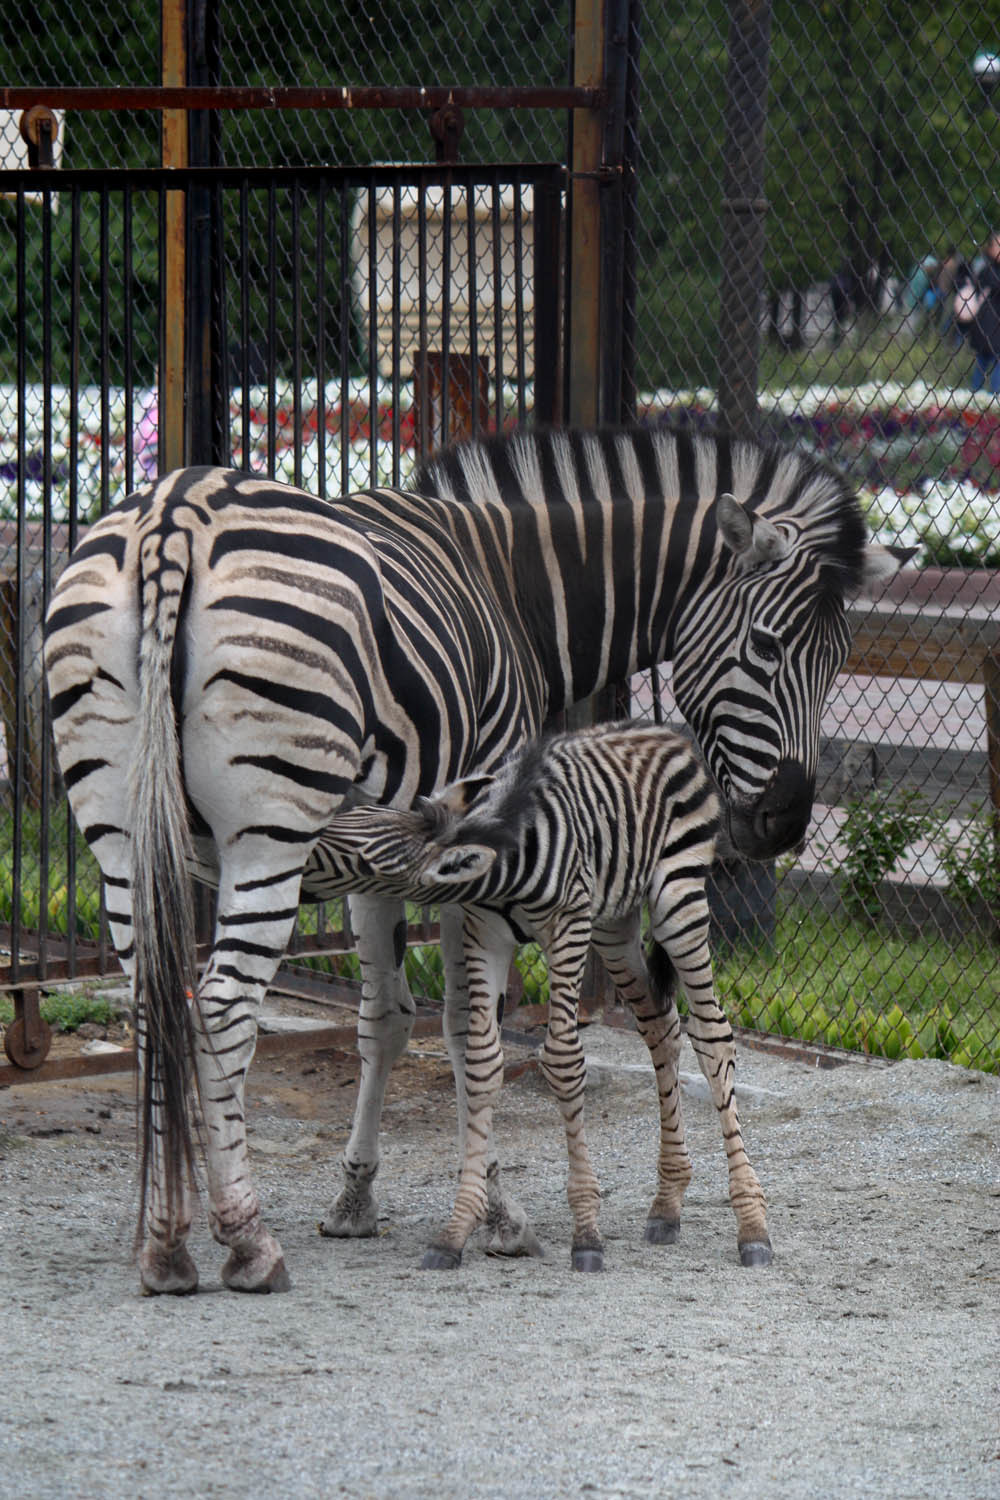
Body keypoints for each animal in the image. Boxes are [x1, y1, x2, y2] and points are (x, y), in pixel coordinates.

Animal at [44, 429, 899, 1296]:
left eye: (840, 659)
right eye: (765, 646)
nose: (784, 825)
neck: (517, 586)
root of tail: (175, 517)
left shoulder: (375, 863)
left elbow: (385, 1021)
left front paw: (356, 1198)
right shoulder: (476, 853)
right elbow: (468, 1030)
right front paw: (498, 1214)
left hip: (120, 829)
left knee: (155, 1003)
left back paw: (166, 1240)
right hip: (270, 828)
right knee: (219, 1005)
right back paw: (246, 1241)